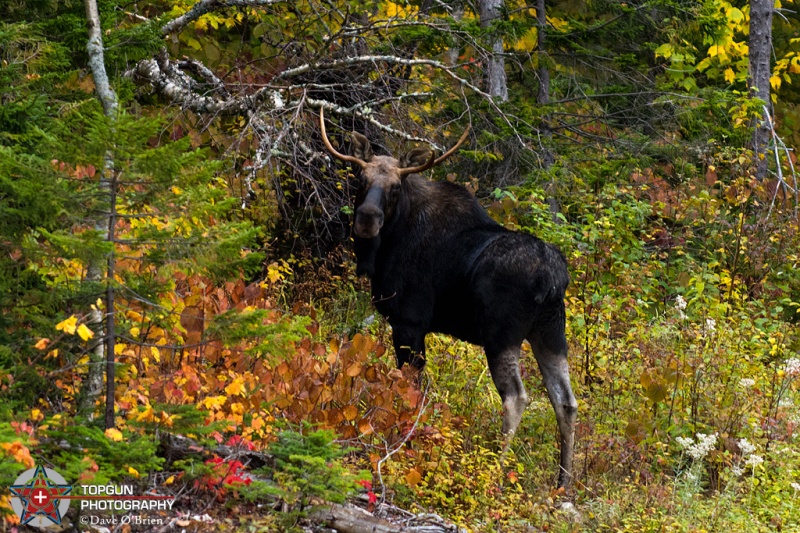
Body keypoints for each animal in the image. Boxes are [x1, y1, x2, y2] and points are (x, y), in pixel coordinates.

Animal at [318, 108, 576, 486]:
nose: (366, 219)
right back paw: (563, 483)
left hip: (502, 334)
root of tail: (552, 278)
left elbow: (411, 389)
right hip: (551, 331)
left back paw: (493, 473)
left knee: (516, 398)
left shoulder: (408, 322)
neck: (383, 248)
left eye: (395, 187)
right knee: (565, 400)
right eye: (360, 178)